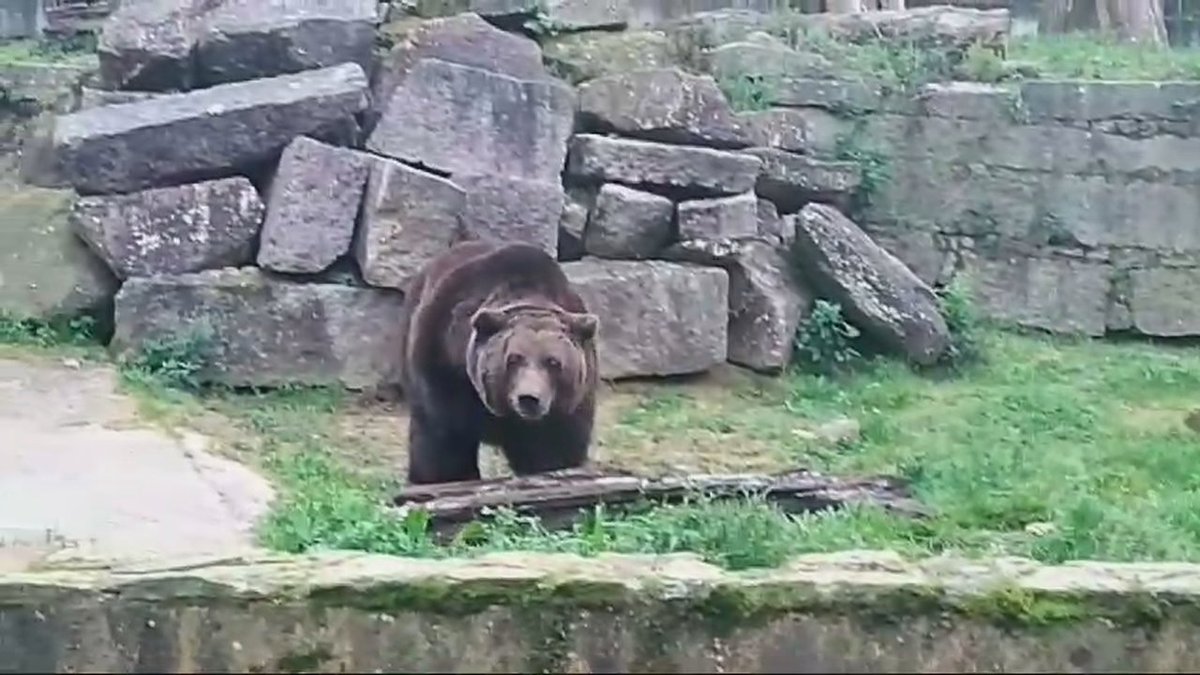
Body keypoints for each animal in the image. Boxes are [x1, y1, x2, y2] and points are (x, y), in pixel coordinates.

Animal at [397, 240, 600, 485]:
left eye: (553, 362)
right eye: (514, 358)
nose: (529, 398)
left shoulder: (569, 404)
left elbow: (554, 452)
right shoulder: (444, 368)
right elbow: (444, 444)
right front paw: (442, 477)